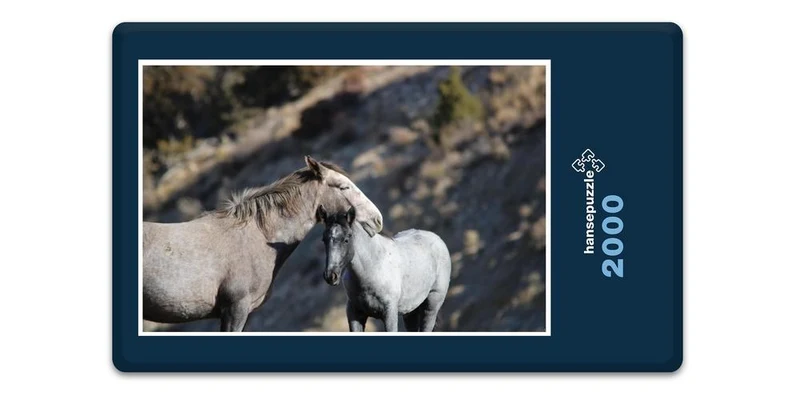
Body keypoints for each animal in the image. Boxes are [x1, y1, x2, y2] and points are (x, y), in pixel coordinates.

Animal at [318, 206, 451, 332]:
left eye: (346, 239)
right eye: (324, 239)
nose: (331, 276)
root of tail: (438, 240)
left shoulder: (389, 314)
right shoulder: (354, 314)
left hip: (431, 306)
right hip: (410, 311)